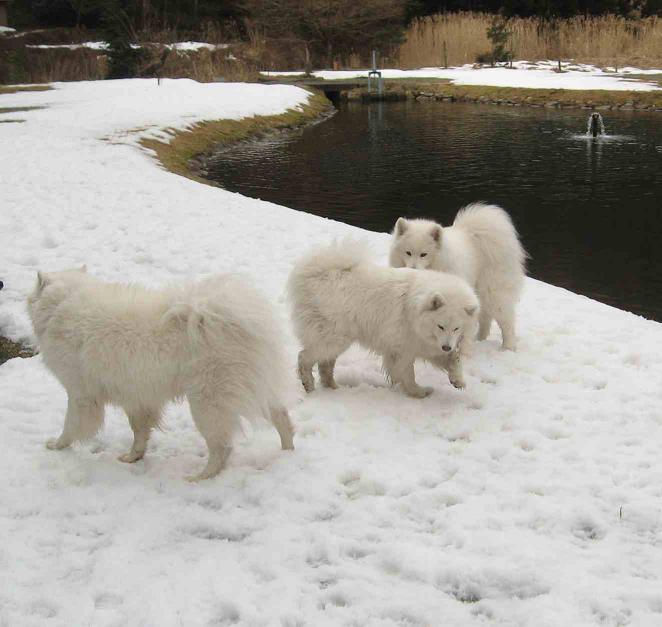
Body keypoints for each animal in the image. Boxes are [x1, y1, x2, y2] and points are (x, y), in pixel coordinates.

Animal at [28, 268, 294, 480]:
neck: (64, 303)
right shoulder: (136, 397)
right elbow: (140, 433)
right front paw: (132, 457)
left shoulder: (80, 394)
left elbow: (71, 425)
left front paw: (57, 445)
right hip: (254, 387)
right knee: (282, 417)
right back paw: (287, 453)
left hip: (207, 403)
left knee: (222, 447)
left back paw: (200, 477)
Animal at [288, 240, 480, 398]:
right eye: (440, 326)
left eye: (457, 328)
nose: (447, 346)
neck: (414, 310)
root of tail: (317, 272)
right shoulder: (402, 348)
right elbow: (407, 373)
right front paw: (418, 392)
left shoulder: (425, 345)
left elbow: (453, 360)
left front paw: (458, 380)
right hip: (333, 337)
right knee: (304, 357)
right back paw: (309, 385)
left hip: (338, 339)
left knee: (325, 365)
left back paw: (333, 388)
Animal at [390, 206, 528, 354]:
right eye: (408, 252)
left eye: (424, 254)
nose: (413, 269)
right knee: (485, 318)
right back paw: (480, 339)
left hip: (493, 293)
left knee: (507, 322)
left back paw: (508, 347)